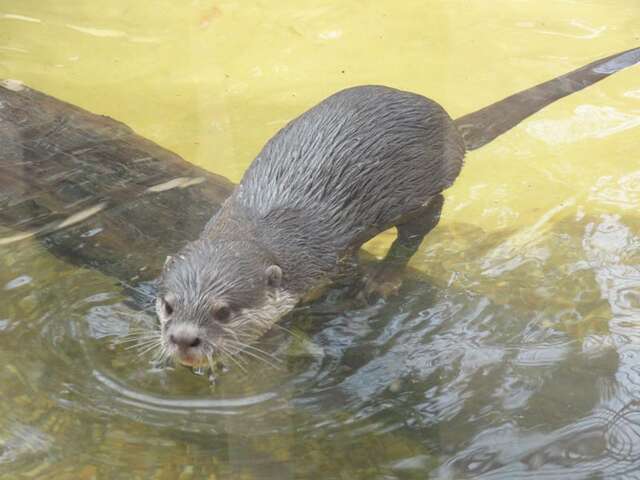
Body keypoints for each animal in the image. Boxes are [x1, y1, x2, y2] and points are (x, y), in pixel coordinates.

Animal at [156, 47, 640, 368]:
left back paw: (385, 279)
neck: (259, 227)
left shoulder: (327, 259)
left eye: (223, 311)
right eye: (168, 306)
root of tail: (450, 129)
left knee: (425, 221)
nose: (184, 340)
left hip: (420, 190)